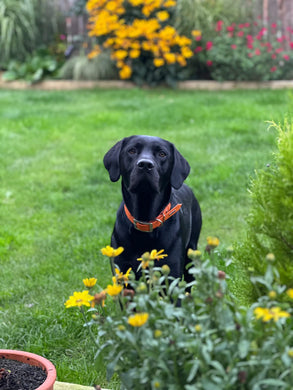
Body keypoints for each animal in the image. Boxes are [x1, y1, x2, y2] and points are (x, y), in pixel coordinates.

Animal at [102, 136, 201, 282]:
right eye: (132, 150)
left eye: (162, 154)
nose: (145, 164)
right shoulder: (122, 272)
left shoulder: (172, 271)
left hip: (191, 254)